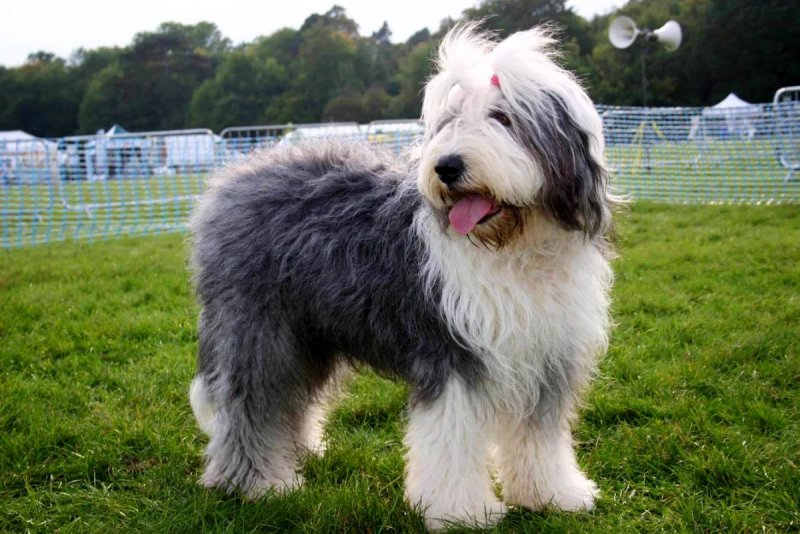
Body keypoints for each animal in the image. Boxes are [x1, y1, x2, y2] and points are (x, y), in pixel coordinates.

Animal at [191, 23, 616, 528]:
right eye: (450, 120)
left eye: (503, 118)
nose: (447, 167)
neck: (514, 245)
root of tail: (234, 178)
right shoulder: (452, 354)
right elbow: (452, 439)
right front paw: (462, 512)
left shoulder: (546, 354)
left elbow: (539, 438)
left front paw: (552, 495)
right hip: (258, 328)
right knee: (251, 401)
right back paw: (257, 483)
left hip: (308, 332)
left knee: (290, 399)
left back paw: (300, 452)